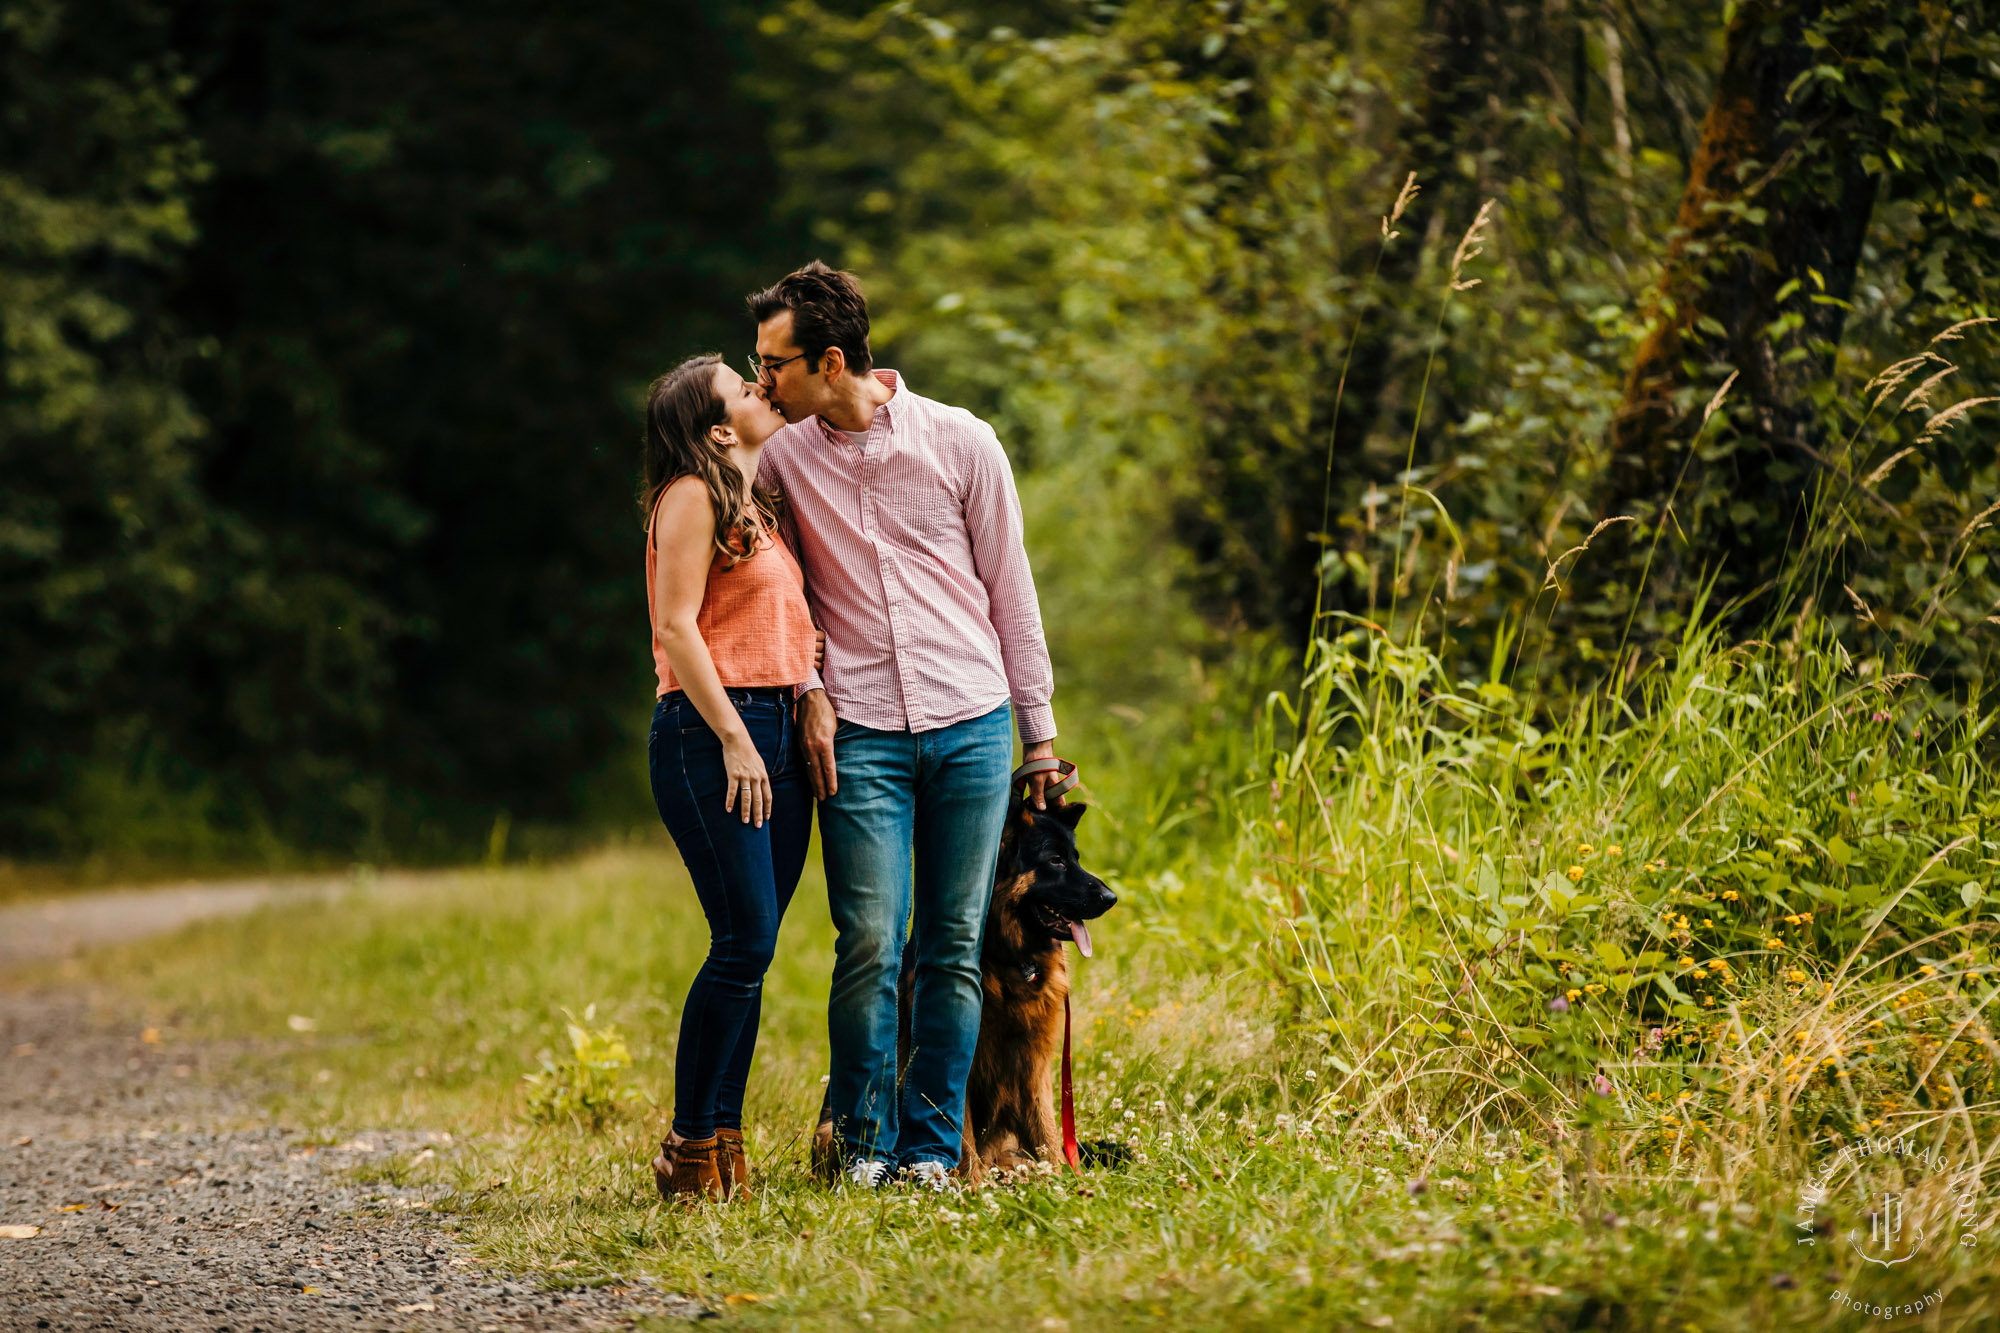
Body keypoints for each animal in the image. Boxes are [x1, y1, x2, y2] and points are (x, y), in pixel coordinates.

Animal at [816, 792, 1128, 1176]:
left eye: (1075, 859)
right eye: (1055, 861)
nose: (1111, 898)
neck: (1007, 959)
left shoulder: (1033, 1062)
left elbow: (1047, 1130)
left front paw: (1060, 1177)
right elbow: (959, 1133)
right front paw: (972, 1183)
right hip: (828, 1132)